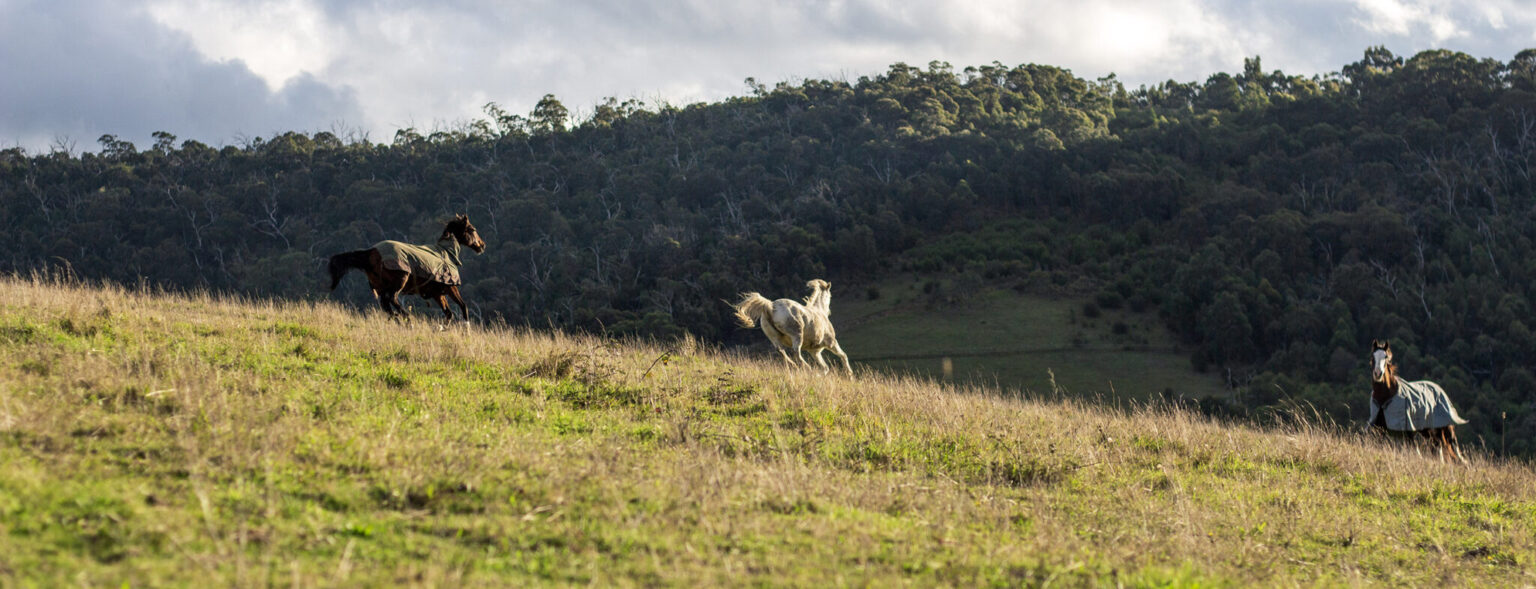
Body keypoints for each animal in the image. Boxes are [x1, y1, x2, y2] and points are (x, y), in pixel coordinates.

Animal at [326, 214, 486, 322]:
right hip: (400, 280)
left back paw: (398, 319)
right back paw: (407, 318)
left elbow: (448, 313)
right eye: (472, 229)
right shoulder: (450, 287)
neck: (446, 253)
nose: (482, 245)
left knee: (385, 304)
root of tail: (371, 251)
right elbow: (463, 307)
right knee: (392, 299)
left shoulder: (437, 293)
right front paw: (466, 330)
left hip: (381, 285)